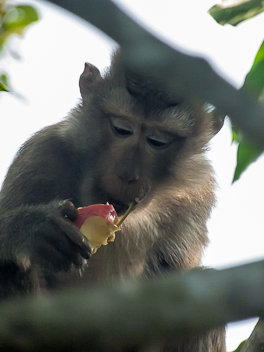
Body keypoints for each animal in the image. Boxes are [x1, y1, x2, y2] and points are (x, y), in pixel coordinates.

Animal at [0, 50, 226, 352]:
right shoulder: (40, 156)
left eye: (157, 141)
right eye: (122, 129)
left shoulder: (196, 196)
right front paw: (34, 229)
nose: (128, 175)